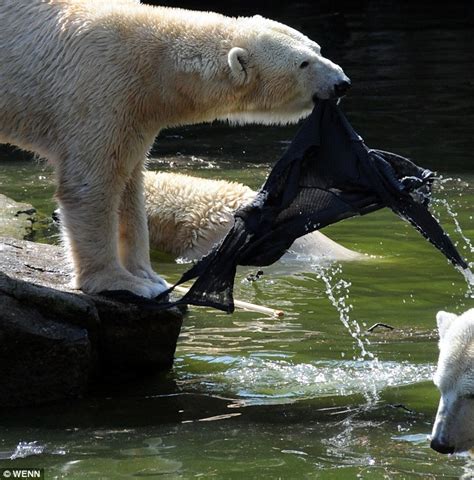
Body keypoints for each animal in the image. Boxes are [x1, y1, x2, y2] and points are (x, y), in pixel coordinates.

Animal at [0, 0, 348, 298]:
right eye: (303, 63)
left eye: (317, 49)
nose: (342, 83)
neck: (155, 64)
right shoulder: (99, 88)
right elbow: (91, 184)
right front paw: (121, 282)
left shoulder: (135, 114)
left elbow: (129, 183)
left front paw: (149, 276)